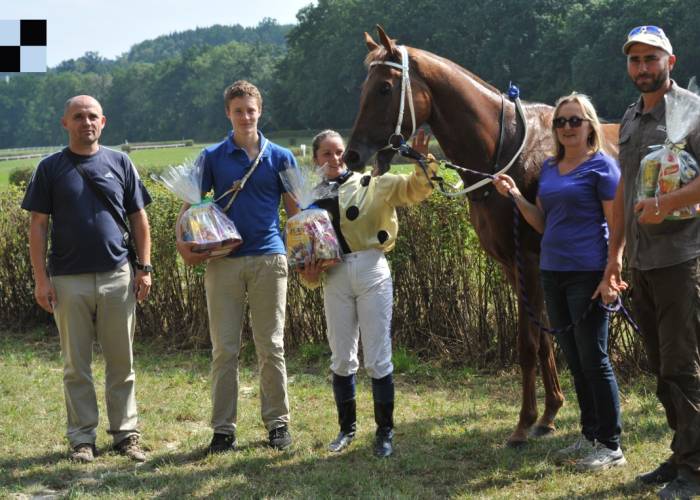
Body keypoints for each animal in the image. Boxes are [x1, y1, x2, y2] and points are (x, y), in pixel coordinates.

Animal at [344, 25, 616, 446]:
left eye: (385, 88)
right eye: (364, 88)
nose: (352, 155)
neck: (504, 155)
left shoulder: (529, 261)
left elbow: (527, 344)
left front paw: (524, 422)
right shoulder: (513, 265)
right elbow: (542, 340)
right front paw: (549, 412)